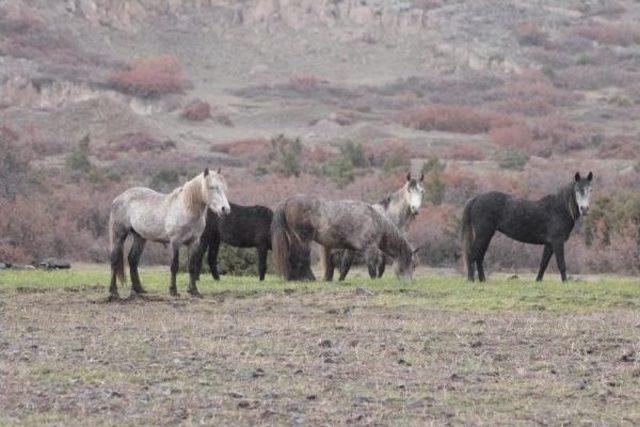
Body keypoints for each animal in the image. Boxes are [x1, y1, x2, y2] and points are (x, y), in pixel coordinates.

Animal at [109, 169, 231, 300]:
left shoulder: (194, 242)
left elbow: (192, 266)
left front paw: (194, 291)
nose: (225, 209)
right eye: (211, 187)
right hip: (119, 235)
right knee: (115, 259)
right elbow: (174, 265)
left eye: (224, 187)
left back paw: (139, 290)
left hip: (140, 237)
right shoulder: (175, 242)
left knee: (133, 259)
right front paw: (173, 291)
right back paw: (113, 291)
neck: (186, 209)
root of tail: (119, 198)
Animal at [270, 195, 416, 282]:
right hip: (303, 239)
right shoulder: (370, 249)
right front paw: (374, 280)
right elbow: (371, 266)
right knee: (300, 257)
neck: (375, 220)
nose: (409, 281)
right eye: (413, 265)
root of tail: (288, 200)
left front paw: (340, 280)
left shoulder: (350, 249)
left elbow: (345, 266)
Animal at [460, 172, 596, 282]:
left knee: (479, 257)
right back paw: (471, 280)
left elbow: (543, 264)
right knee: (472, 255)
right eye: (577, 189)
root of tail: (476, 198)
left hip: (487, 236)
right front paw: (565, 283)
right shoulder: (557, 242)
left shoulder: (549, 244)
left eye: (590, 190)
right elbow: (561, 263)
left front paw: (538, 281)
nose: (584, 209)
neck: (560, 209)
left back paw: (482, 280)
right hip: (483, 235)